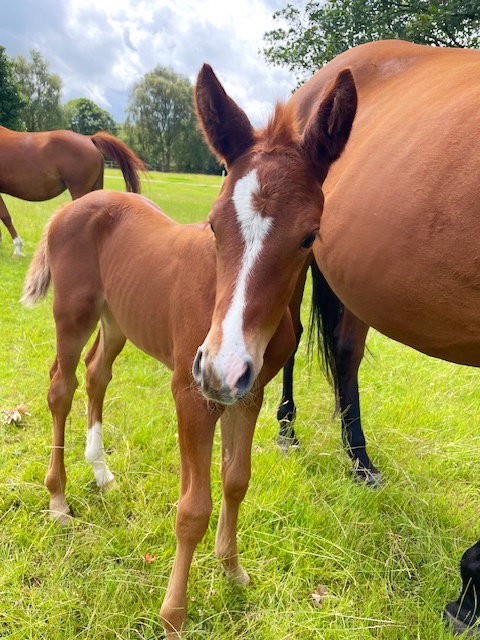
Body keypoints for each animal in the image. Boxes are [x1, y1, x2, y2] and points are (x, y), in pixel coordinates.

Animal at [22, 64, 357, 638]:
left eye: (310, 236)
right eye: (215, 222)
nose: (220, 369)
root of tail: (74, 207)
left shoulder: (248, 393)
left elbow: (237, 480)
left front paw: (233, 571)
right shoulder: (191, 392)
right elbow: (191, 509)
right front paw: (174, 614)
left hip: (118, 321)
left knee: (97, 374)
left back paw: (102, 473)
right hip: (73, 315)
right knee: (61, 386)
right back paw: (59, 500)